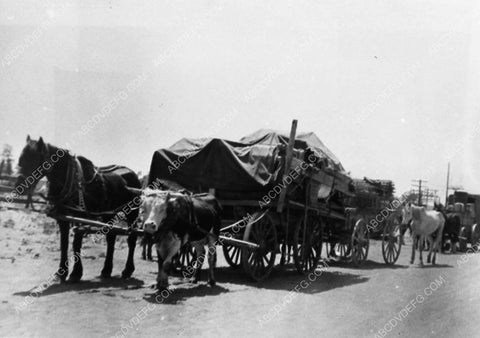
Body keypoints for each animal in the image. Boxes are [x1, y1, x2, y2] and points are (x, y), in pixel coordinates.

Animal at [15, 136, 142, 282]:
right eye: (21, 159)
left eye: (35, 159)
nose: (19, 186)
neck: (70, 181)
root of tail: (132, 174)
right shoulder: (63, 218)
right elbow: (64, 244)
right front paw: (61, 273)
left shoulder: (79, 217)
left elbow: (76, 243)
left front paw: (76, 273)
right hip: (108, 214)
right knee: (111, 237)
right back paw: (106, 270)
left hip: (132, 212)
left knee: (132, 238)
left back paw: (128, 270)